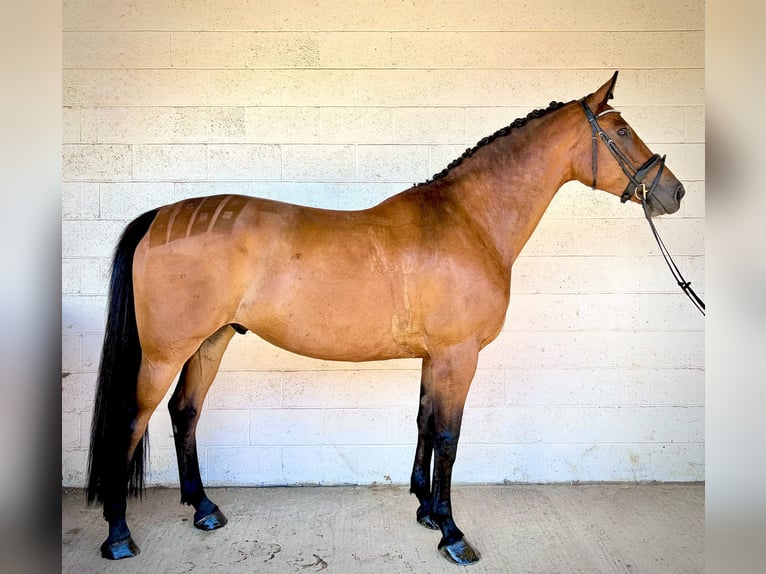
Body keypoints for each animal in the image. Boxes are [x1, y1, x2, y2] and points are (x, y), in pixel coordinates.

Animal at [85, 71, 686, 565]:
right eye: (623, 131)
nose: (674, 192)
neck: (470, 220)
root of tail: (159, 216)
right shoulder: (458, 356)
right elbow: (449, 436)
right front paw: (452, 534)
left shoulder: (436, 357)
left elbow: (423, 421)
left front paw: (425, 510)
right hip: (164, 353)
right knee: (131, 422)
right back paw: (118, 536)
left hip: (211, 341)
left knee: (184, 413)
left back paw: (205, 509)